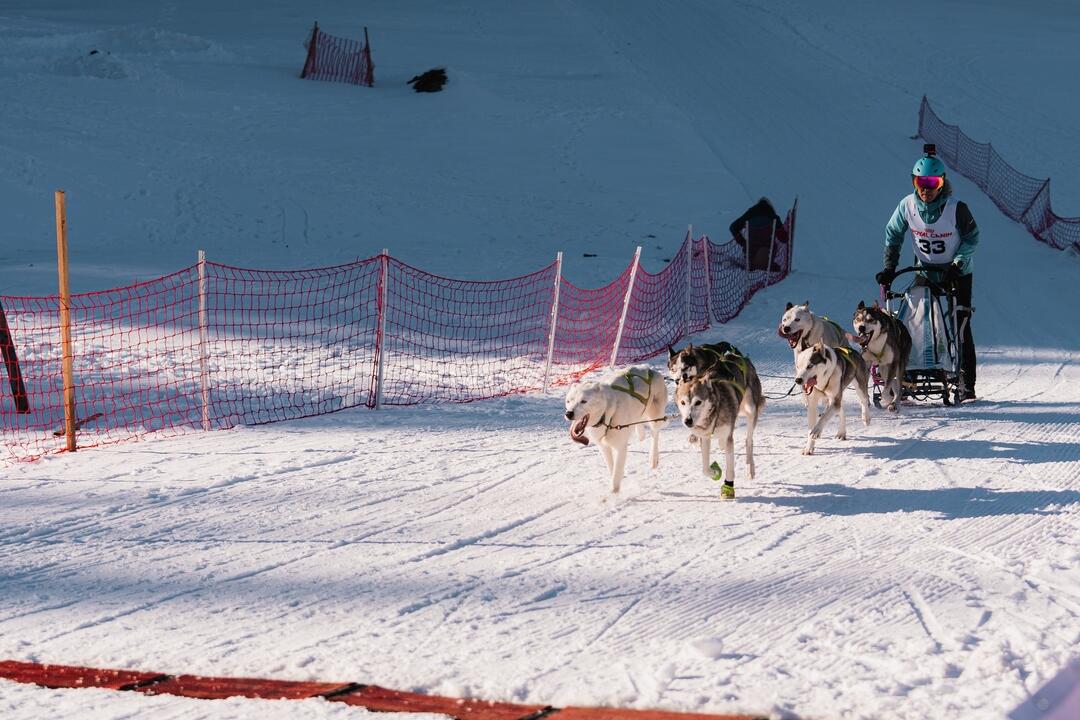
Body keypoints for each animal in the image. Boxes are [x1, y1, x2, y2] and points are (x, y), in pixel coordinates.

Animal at [669, 349, 764, 483]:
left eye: (698, 402)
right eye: (683, 402)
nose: (688, 421)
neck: (713, 413)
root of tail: (739, 356)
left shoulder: (728, 438)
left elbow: (730, 470)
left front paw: (728, 486)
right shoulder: (705, 438)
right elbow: (705, 469)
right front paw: (714, 473)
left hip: (750, 408)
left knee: (748, 440)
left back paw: (750, 468)